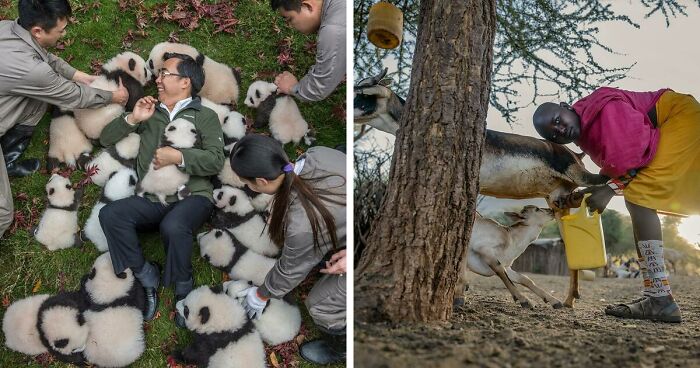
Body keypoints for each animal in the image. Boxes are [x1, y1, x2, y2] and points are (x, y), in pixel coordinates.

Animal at [356, 69, 608, 308]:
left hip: (582, 179)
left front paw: (460, 295)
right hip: (557, 200)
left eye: (367, 91)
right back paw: (567, 300)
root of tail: (573, 153)